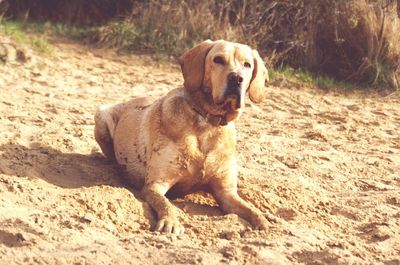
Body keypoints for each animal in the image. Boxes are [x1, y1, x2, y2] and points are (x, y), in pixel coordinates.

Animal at [95, 39, 274, 235]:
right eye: (218, 60)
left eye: (247, 65)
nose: (236, 78)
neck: (207, 124)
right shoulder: (155, 185)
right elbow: (165, 203)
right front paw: (170, 222)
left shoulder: (226, 193)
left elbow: (251, 209)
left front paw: (263, 222)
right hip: (101, 116)